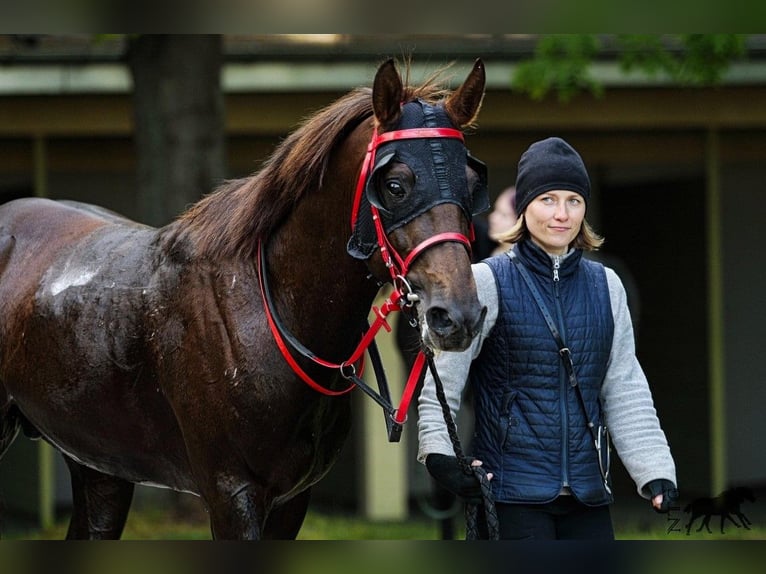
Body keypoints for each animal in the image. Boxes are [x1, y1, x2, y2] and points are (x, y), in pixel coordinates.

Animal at [0, 58, 492, 540]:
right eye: (394, 185)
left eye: (472, 184)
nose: (459, 315)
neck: (263, 315)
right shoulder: (231, 492)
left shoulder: (292, 499)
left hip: (99, 465)